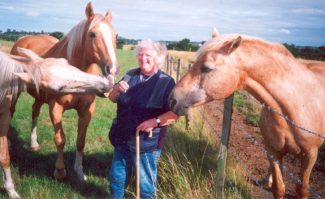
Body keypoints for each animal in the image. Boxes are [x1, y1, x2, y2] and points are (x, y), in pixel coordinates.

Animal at [9, 1, 118, 182]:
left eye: (116, 36)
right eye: (92, 34)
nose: (113, 69)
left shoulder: (87, 110)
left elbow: (80, 140)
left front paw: (80, 172)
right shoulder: (56, 107)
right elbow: (60, 139)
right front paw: (60, 171)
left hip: (39, 96)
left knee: (34, 111)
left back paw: (33, 144)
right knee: (11, 111)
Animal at [168, 31, 324, 198]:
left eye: (206, 68)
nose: (172, 99)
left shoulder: (310, 156)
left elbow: (302, 190)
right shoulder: (272, 150)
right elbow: (279, 188)